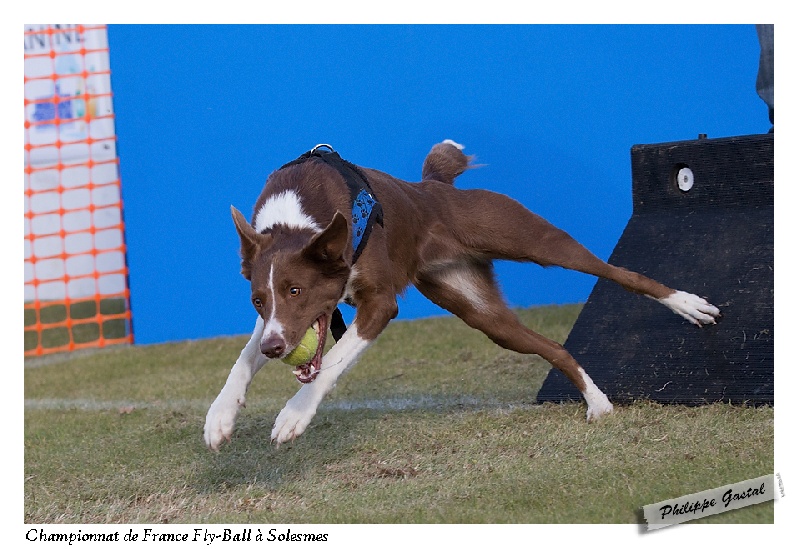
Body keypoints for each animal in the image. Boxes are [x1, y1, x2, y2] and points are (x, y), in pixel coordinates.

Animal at [203, 139, 720, 448]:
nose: (277, 349)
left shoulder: (380, 304)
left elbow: (330, 362)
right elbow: (242, 361)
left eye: (297, 288)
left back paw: (689, 305)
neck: (298, 219)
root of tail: (435, 187)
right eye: (257, 299)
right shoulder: (273, 324)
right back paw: (597, 403)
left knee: (618, 272)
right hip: (482, 313)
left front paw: (294, 414)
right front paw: (220, 417)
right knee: (552, 346)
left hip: (534, 239)